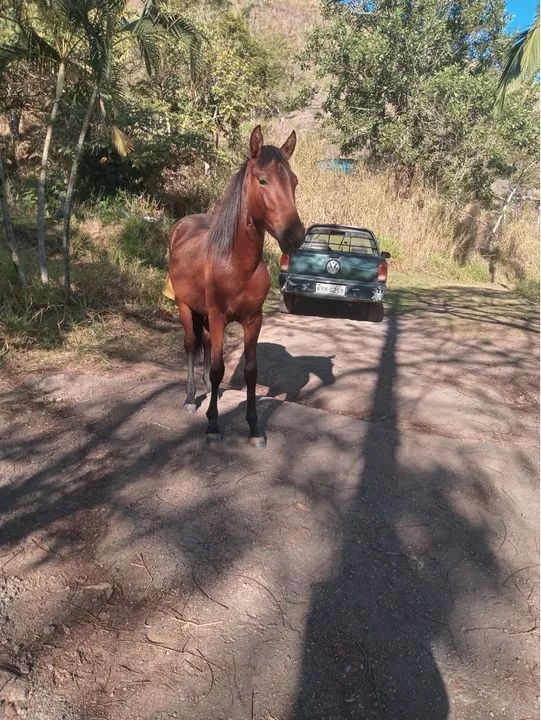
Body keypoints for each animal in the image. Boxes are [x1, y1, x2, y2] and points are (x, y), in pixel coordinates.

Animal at [166, 125, 305, 446]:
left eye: (293, 182)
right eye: (263, 180)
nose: (295, 236)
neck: (236, 263)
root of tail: (181, 226)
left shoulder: (253, 319)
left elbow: (251, 371)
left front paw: (254, 428)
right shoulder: (218, 317)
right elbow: (219, 368)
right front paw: (213, 425)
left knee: (205, 344)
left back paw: (207, 391)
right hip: (184, 306)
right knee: (191, 344)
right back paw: (191, 398)